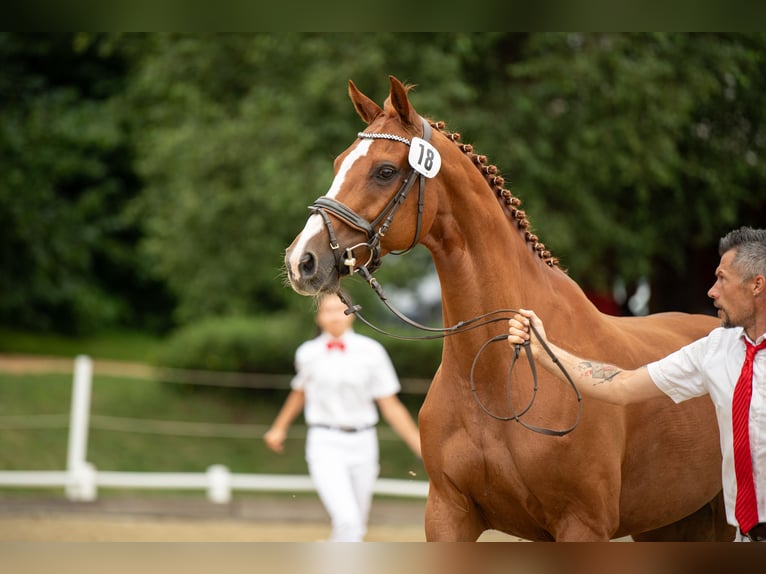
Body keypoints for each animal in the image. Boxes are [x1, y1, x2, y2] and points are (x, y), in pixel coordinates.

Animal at [284, 75, 734, 541]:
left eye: (385, 171)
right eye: (338, 163)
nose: (302, 261)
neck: (494, 375)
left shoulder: (582, 524)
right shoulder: (448, 515)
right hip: (670, 522)